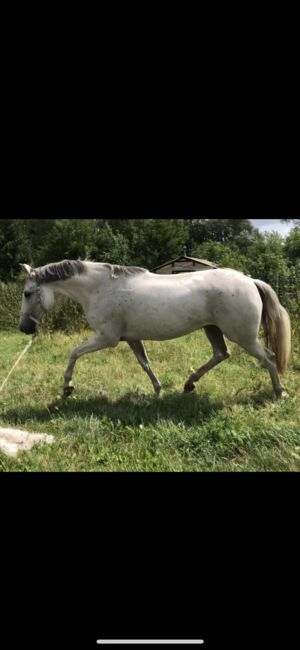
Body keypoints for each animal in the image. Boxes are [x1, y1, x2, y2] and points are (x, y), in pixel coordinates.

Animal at [18, 260, 290, 398]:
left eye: (27, 293)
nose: (24, 328)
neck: (100, 288)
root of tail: (250, 280)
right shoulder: (130, 338)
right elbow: (145, 364)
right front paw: (158, 390)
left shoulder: (106, 338)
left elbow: (74, 353)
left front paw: (68, 387)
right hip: (212, 329)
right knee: (221, 354)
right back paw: (189, 384)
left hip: (243, 336)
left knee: (269, 358)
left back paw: (280, 392)